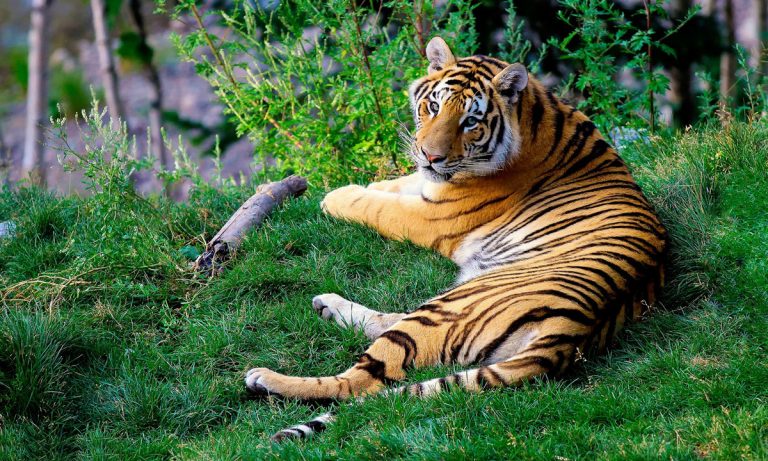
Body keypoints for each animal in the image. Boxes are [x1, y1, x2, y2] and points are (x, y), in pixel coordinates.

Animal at [244, 36, 668, 442]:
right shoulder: (429, 186)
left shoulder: (432, 215)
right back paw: (327, 306)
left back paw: (265, 378)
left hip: (449, 306)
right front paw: (367, 184)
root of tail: (572, 333)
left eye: (470, 122)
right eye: (433, 106)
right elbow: (396, 185)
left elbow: (378, 207)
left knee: (359, 382)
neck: (534, 116)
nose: (431, 156)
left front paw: (336, 196)